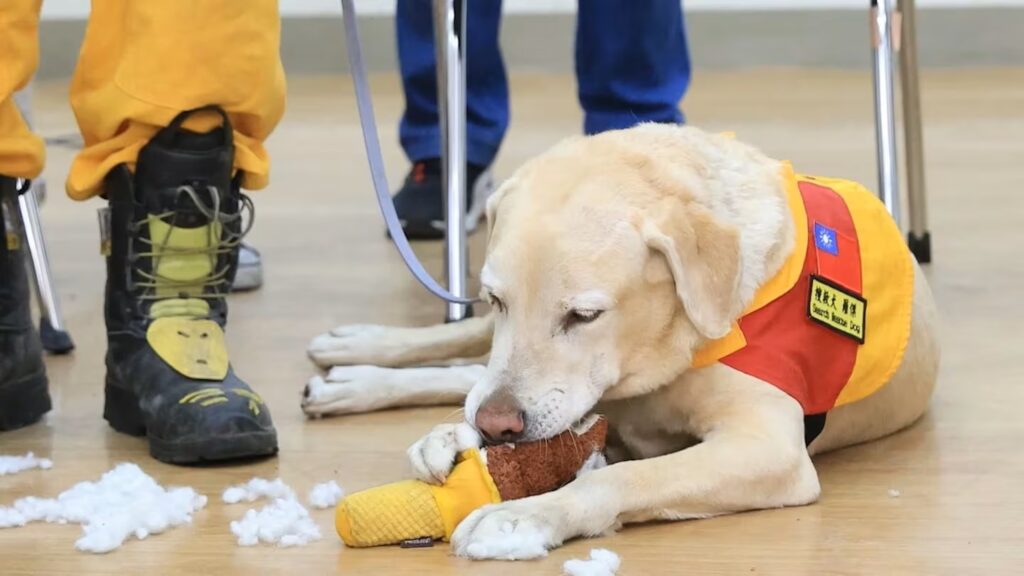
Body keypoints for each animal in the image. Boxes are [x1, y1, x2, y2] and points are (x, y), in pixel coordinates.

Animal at [299, 124, 937, 557]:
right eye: (497, 299)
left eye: (584, 315)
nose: (497, 427)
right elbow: (487, 388)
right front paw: (450, 437)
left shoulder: (770, 449)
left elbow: (619, 475)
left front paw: (521, 517)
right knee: (462, 361)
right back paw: (356, 363)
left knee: (465, 374)